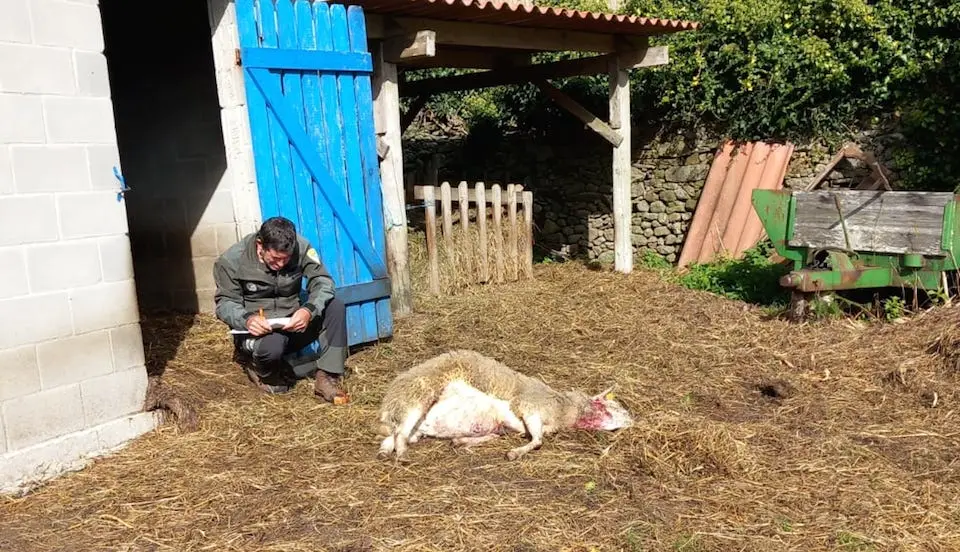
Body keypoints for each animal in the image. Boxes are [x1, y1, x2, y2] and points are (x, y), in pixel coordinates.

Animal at [376, 350, 636, 462]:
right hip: (418, 397)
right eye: (618, 407)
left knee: (396, 435)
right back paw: (402, 455)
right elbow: (538, 440)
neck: (564, 409)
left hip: (418, 420)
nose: (634, 421)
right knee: (400, 434)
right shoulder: (530, 407)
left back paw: (386, 451)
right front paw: (515, 453)